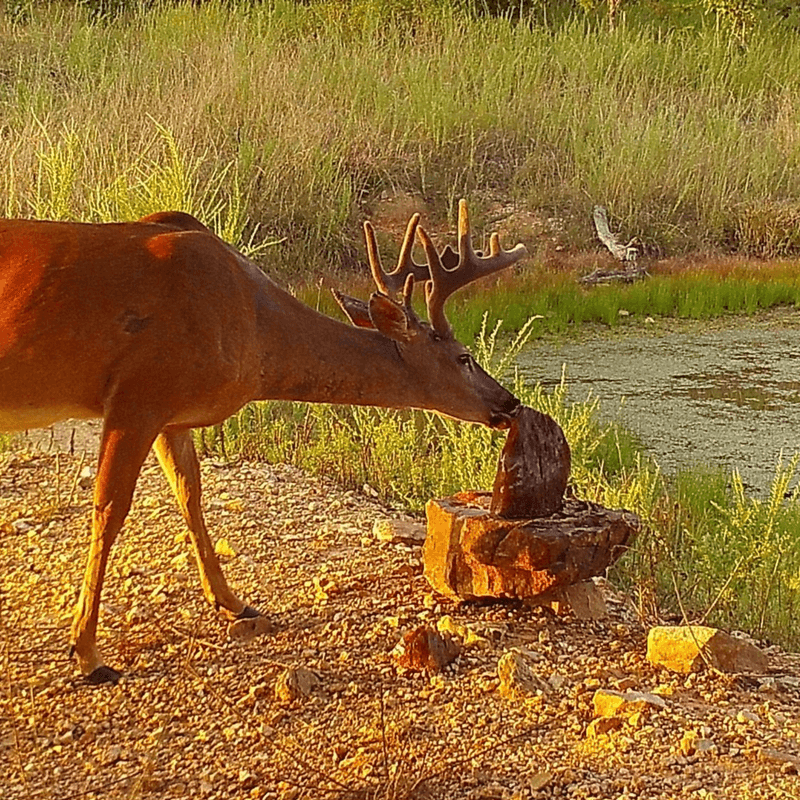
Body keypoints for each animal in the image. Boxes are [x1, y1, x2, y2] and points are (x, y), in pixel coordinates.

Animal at [0, 198, 524, 680]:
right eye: (464, 357)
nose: (510, 402)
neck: (255, 332)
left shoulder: (173, 415)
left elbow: (190, 495)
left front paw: (234, 603)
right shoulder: (139, 392)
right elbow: (109, 511)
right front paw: (87, 653)